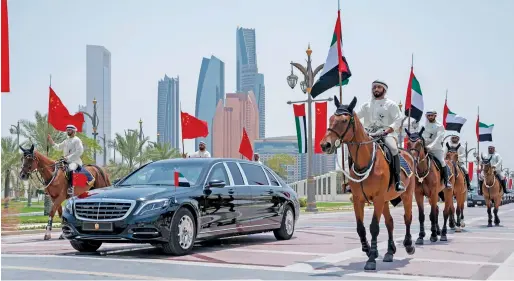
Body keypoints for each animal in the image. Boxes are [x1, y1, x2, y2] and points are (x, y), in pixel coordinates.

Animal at [318, 95, 414, 270]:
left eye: (344, 120)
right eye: (331, 119)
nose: (325, 144)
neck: (364, 160)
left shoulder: (377, 198)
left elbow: (374, 227)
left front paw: (371, 259)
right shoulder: (358, 199)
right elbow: (360, 228)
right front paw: (369, 250)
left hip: (406, 195)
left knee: (407, 218)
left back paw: (409, 245)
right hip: (385, 200)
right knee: (390, 222)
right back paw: (389, 252)